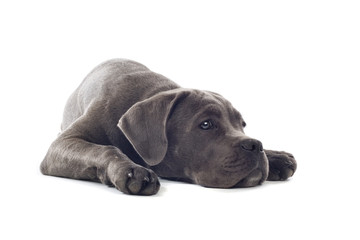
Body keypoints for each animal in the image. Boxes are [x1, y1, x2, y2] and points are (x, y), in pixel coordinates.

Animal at [40, 58, 296, 195]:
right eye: (206, 124)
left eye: (242, 125)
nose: (255, 145)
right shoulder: (64, 143)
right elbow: (104, 149)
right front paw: (132, 170)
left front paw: (276, 156)